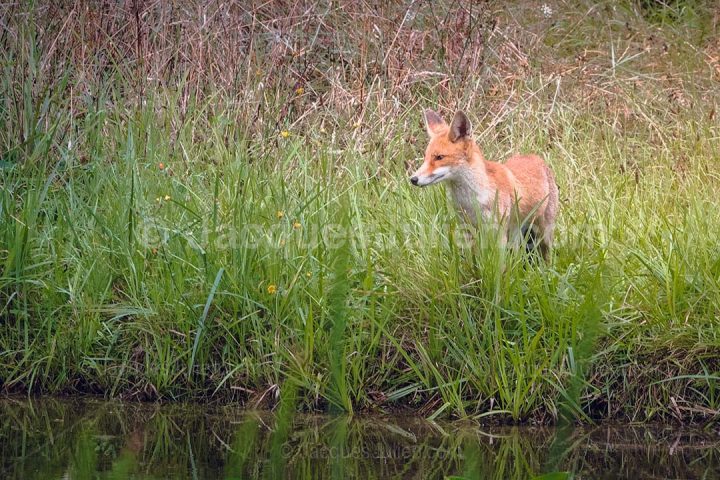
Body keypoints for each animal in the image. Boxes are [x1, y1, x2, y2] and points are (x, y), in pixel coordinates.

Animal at [410, 109, 559, 259]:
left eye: (439, 157)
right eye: (426, 157)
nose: (413, 179)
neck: (471, 201)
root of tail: (536, 157)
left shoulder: (498, 231)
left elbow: (499, 263)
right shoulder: (467, 228)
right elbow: (472, 260)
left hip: (543, 231)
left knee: (547, 253)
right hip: (516, 231)